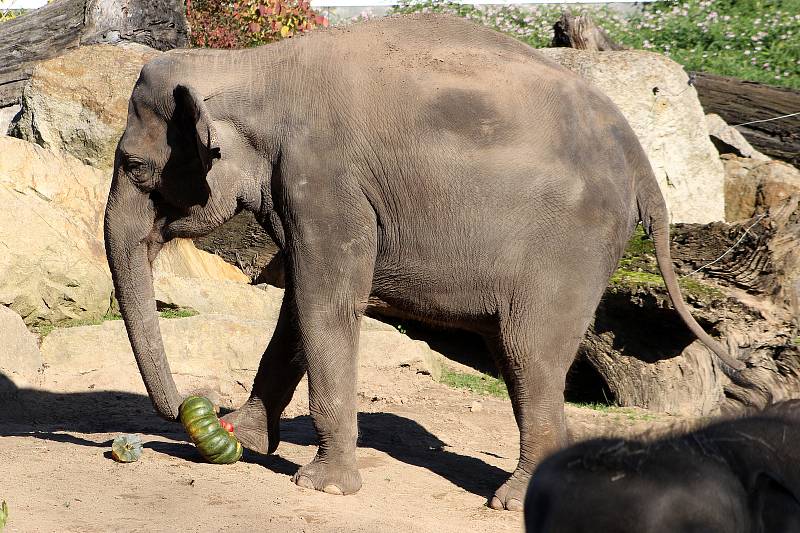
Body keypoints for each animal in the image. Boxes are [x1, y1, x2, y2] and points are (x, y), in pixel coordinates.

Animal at [101, 12, 744, 510]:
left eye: (134, 166)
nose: (190, 410)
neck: (250, 66)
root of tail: (641, 160)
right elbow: (299, 310)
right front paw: (248, 439)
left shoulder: (327, 184)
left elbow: (325, 304)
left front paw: (323, 487)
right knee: (515, 358)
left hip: (573, 248)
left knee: (529, 355)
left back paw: (512, 500)